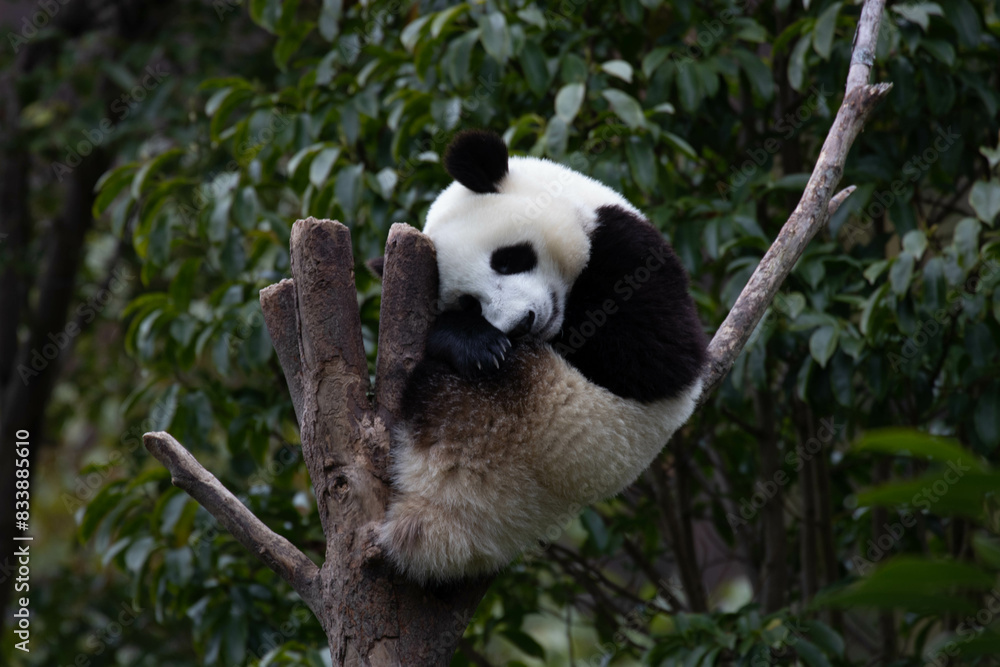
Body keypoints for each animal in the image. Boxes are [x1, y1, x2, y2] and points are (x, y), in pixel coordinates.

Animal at [378, 129, 707, 584]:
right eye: (468, 303)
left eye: (507, 259)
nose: (520, 325)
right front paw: (474, 341)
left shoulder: (628, 249)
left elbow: (654, 354)